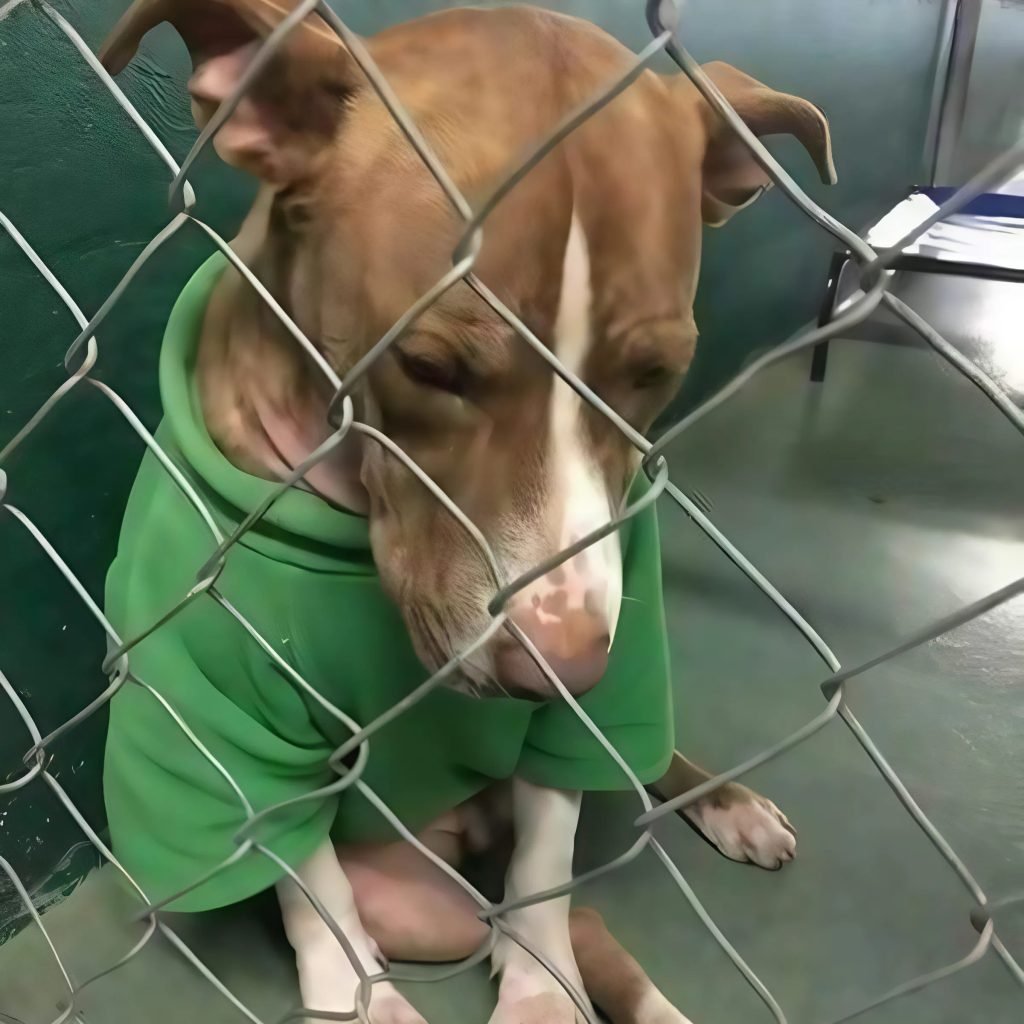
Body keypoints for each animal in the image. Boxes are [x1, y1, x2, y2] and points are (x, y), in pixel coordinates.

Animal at [99, 2, 831, 1024]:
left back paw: (720, 812)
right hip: (421, 902)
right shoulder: (227, 723)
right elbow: (315, 895)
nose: (564, 670)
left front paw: (540, 994)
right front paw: (361, 1001)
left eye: (655, 375)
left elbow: (546, 869)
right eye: (428, 368)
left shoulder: (590, 694)